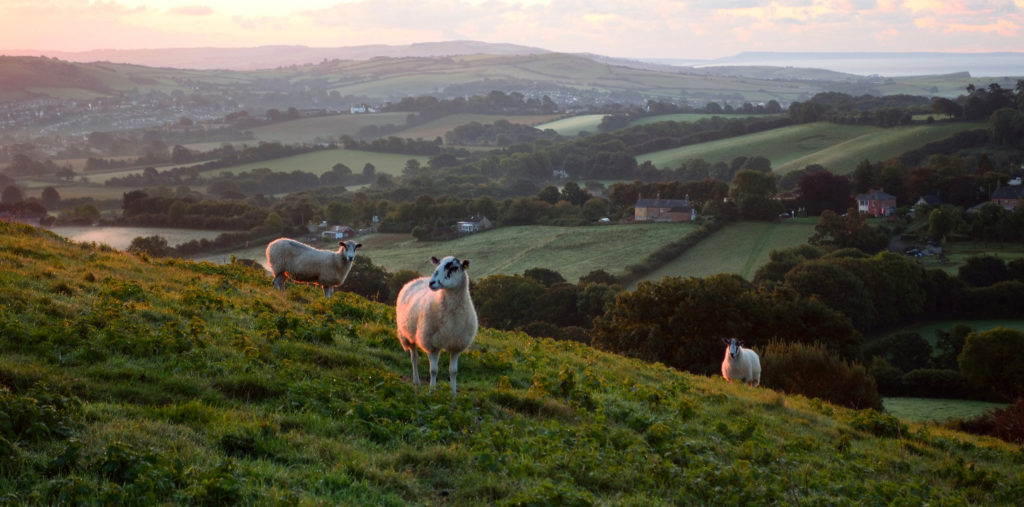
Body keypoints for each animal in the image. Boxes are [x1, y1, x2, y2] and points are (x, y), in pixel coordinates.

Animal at [397, 256, 481, 395]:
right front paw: (432, 391)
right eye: (438, 264)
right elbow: (433, 370)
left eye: (454, 267)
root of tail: (418, 279)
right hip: (407, 335)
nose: (432, 283)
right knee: (414, 357)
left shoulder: (456, 345)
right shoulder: (431, 344)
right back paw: (417, 381)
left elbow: (453, 372)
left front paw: (453, 394)